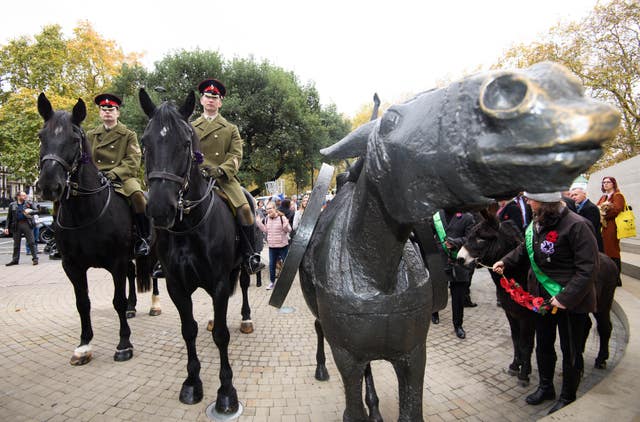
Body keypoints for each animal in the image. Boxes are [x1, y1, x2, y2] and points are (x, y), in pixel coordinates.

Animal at [37, 93, 151, 366]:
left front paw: (124, 345)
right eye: (41, 136)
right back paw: (133, 307)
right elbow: (83, 303)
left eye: (74, 139)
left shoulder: (116, 262)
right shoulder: (72, 266)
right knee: (133, 274)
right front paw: (84, 345)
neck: (84, 212)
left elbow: (117, 301)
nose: (49, 185)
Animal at [138, 87, 252, 414]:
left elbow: (222, 335)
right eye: (145, 141)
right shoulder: (176, 286)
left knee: (242, 286)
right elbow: (188, 330)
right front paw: (192, 383)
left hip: (241, 267)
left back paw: (246, 318)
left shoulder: (219, 281)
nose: (160, 209)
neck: (188, 226)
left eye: (186, 143)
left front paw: (226, 391)